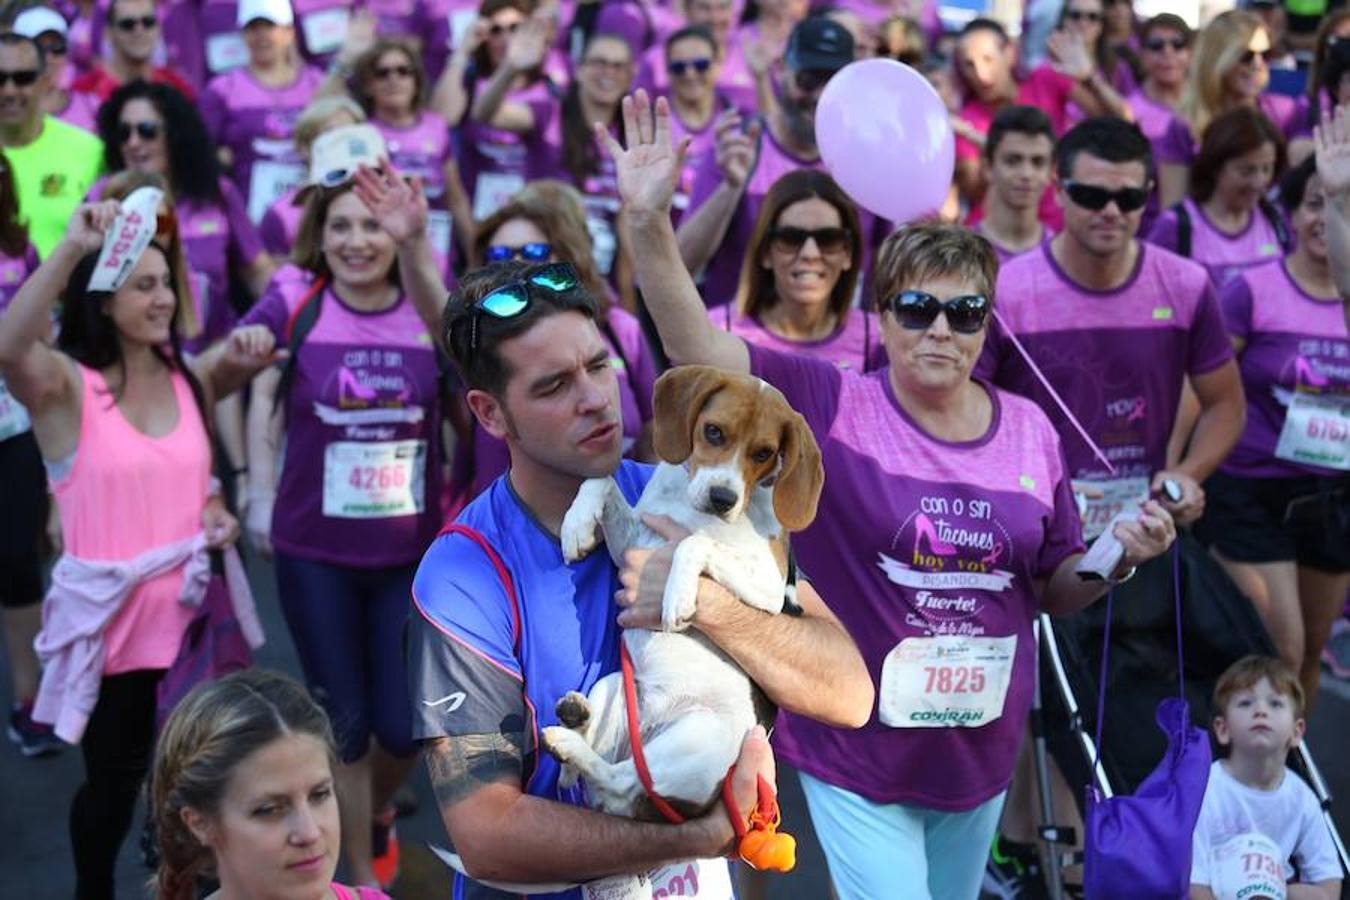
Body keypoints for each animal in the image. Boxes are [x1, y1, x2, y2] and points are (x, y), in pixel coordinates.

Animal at [545, 364, 820, 825]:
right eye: (713, 432)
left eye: (764, 452)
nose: (723, 498)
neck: (694, 508)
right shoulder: (635, 542)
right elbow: (601, 479)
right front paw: (577, 525)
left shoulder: (768, 586)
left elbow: (695, 542)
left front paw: (677, 596)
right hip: (617, 685)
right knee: (602, 773)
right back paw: (575, 721)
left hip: (697, 737)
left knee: (618, 783)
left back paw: (568, 742)